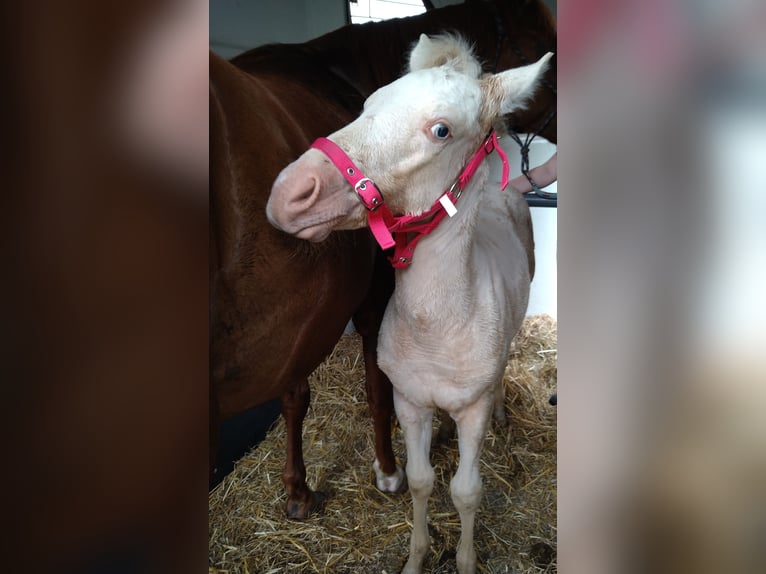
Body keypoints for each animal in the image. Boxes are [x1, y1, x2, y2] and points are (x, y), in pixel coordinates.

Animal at [270, 35, 552, 574]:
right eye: (369, 103)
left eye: (441, 130)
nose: (290, 193)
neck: (438, 328)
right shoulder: (410, 403)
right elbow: (422, 482)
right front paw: (416, 558)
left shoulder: (471, 412)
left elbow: (466, 491)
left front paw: (465, 561)